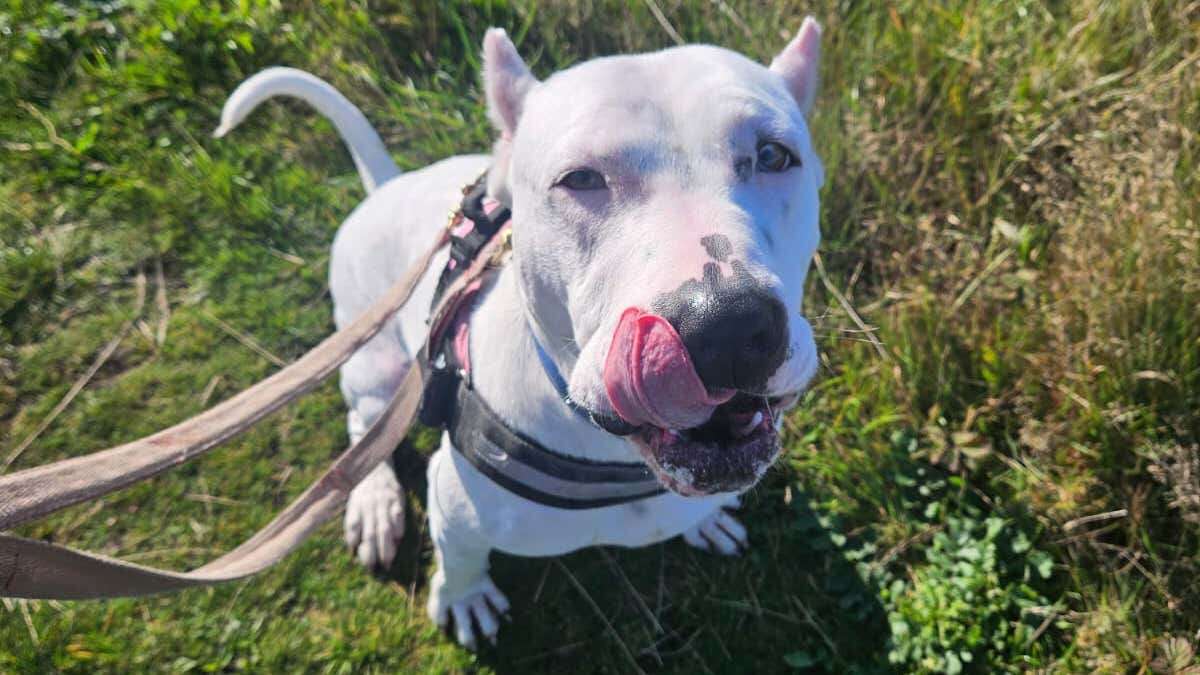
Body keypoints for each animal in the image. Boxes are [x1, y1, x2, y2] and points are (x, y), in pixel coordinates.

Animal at [216, 17, 820, 648]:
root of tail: (385, 187)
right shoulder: (454, 505)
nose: (725, 325)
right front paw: (463, 598)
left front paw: (707, 522)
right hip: (373, 367)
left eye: (774, 154)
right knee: (365, 429)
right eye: (579, 178)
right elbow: (460, 557)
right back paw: (375, 502)